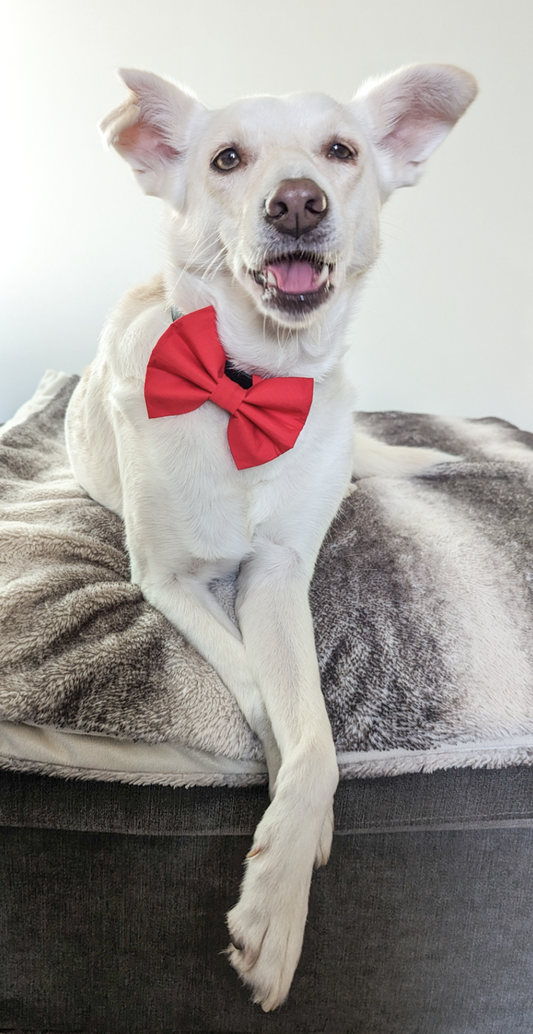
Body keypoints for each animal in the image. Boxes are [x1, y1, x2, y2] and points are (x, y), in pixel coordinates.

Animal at [65, 64, 480, 1009]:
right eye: (227, 158)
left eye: (341, 151)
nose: (297, 202)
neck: (251, 386)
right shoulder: (169, 581)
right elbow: (262, 693)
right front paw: (289, 837)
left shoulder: (281, 575)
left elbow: (320, 739)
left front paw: (285, 877)